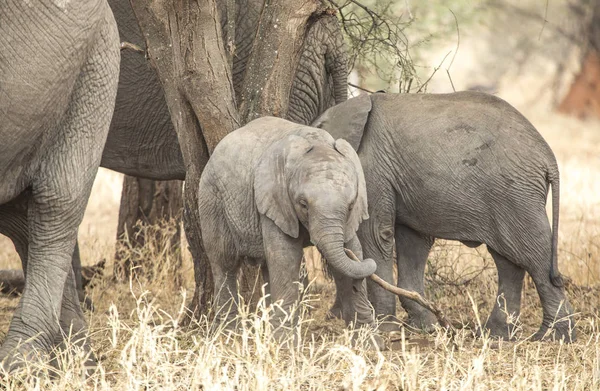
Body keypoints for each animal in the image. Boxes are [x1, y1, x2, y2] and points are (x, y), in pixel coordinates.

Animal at [199, 118, 378, 338]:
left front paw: (369, 339)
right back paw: (229, 335)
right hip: (211, 199)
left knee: (265, 265)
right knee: (225, 262)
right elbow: (286, 256)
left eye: (351, 205)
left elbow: (354, 247)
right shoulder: (274, 199)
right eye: (303, 204)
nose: (358, 284)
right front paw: (284, 341)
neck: (316, 140)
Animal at [312, 92, 576, 344]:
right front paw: (425, 327)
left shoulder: (371, 168)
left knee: (534, 258)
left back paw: (553, 337)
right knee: (509, 261)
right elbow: (413, 241)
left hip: (516, 195)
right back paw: (495, 335)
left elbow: (376, 234)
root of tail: (549, 159)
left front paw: (387, 328)